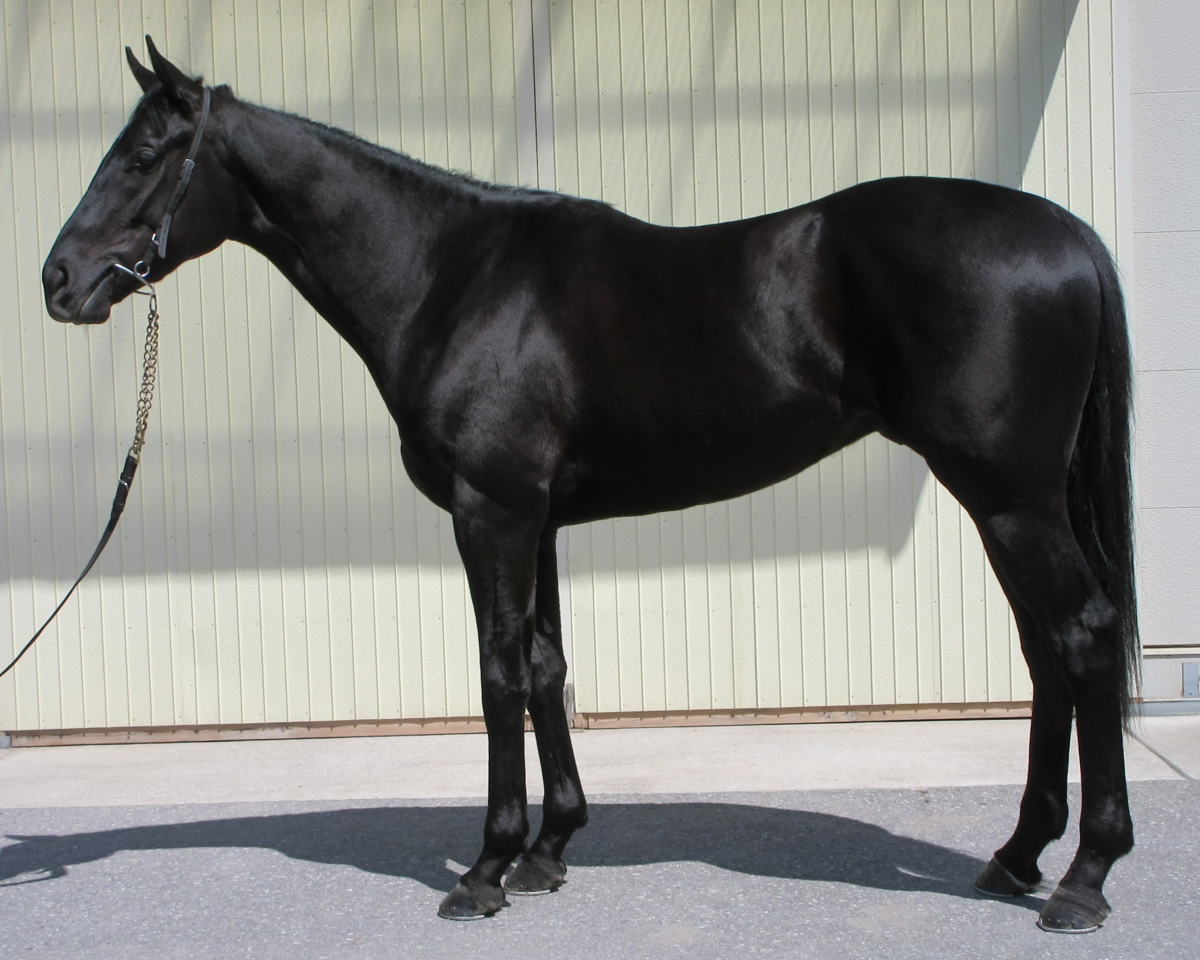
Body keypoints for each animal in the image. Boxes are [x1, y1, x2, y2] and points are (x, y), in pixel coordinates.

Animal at [42, 38, 1138, 933]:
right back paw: (1017, 856)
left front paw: (486, 868)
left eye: (143, 156)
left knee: (1081, 639)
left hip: (1009, 498)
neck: (452, 279)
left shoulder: (492, 515)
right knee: (1047, 652)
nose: (58, 281)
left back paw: (1085, 877)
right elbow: (545, 668)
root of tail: (1066, 233)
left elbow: (496, 677)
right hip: (1009, 502)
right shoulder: (542, 522)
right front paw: (549, 849)